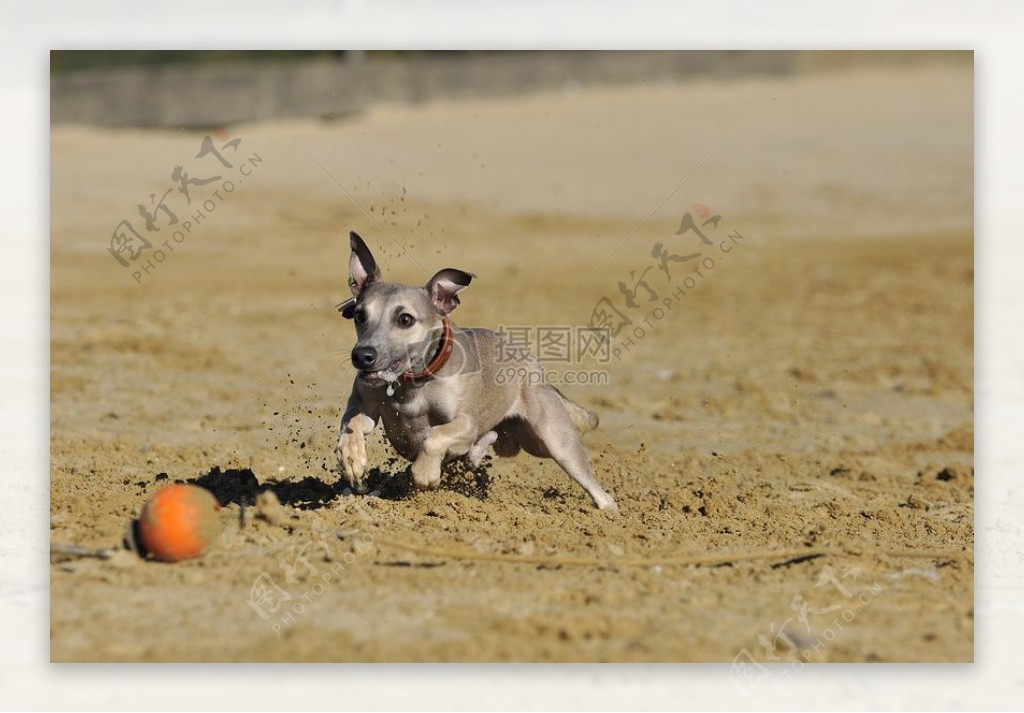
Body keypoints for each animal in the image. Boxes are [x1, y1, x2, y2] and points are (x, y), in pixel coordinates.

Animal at [335, 231, 614, 510]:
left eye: (405, 319)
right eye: (359, 315)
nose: (362, 356)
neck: (412, 381)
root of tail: (536, 368)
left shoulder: (467, 423)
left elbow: (435, 436)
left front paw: (425, 473)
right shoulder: (366, 405)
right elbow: (352, 422)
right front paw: (352, 460)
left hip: (554, 441)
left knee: (596, 488)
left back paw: (608, 510)